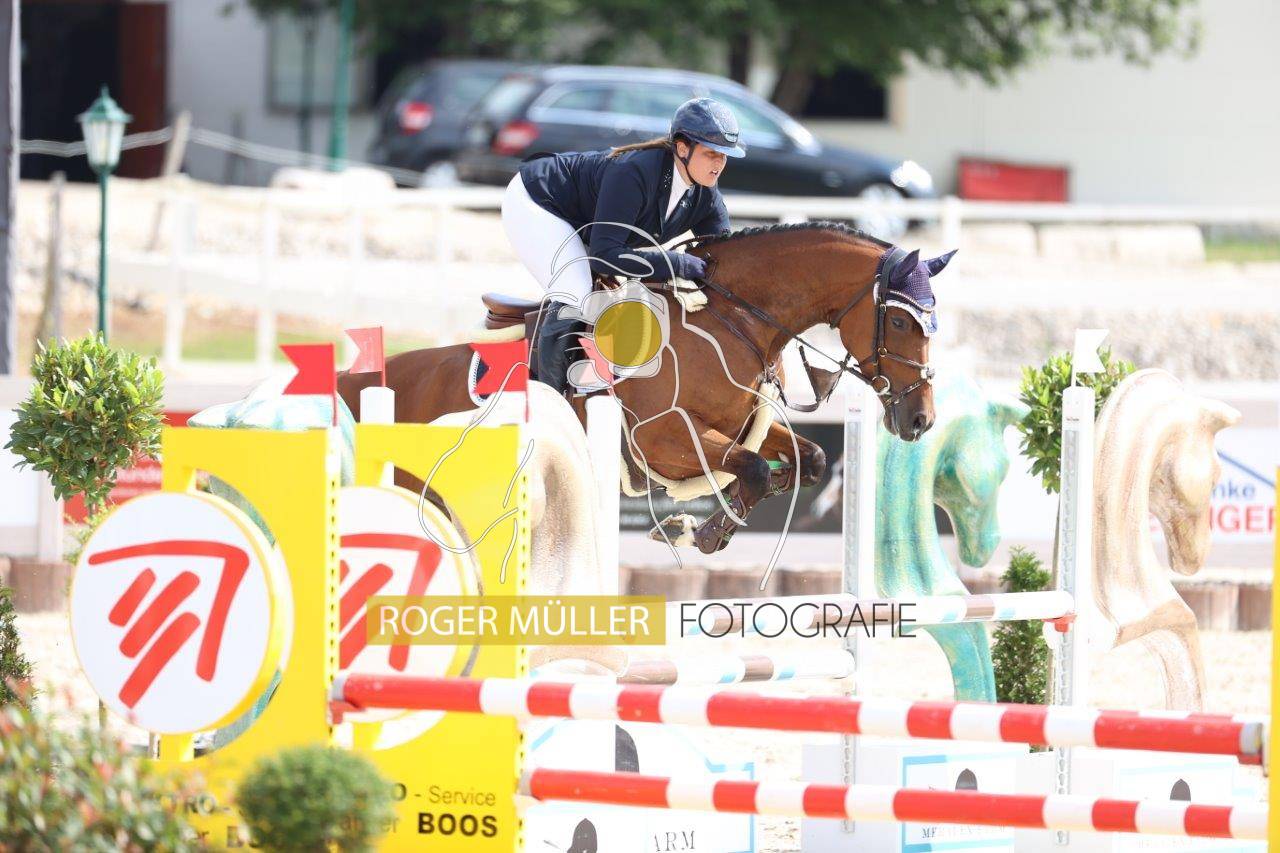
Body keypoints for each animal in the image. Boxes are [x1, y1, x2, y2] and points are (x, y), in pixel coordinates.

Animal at [340, 222, 955, 557]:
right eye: (903, 322)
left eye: (933, 323)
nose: (920, 420)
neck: (730, 320)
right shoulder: (662, 440)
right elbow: (755, 468)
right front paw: (701, 533)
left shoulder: (741, 427)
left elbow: (809, 460)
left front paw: (709, 523)